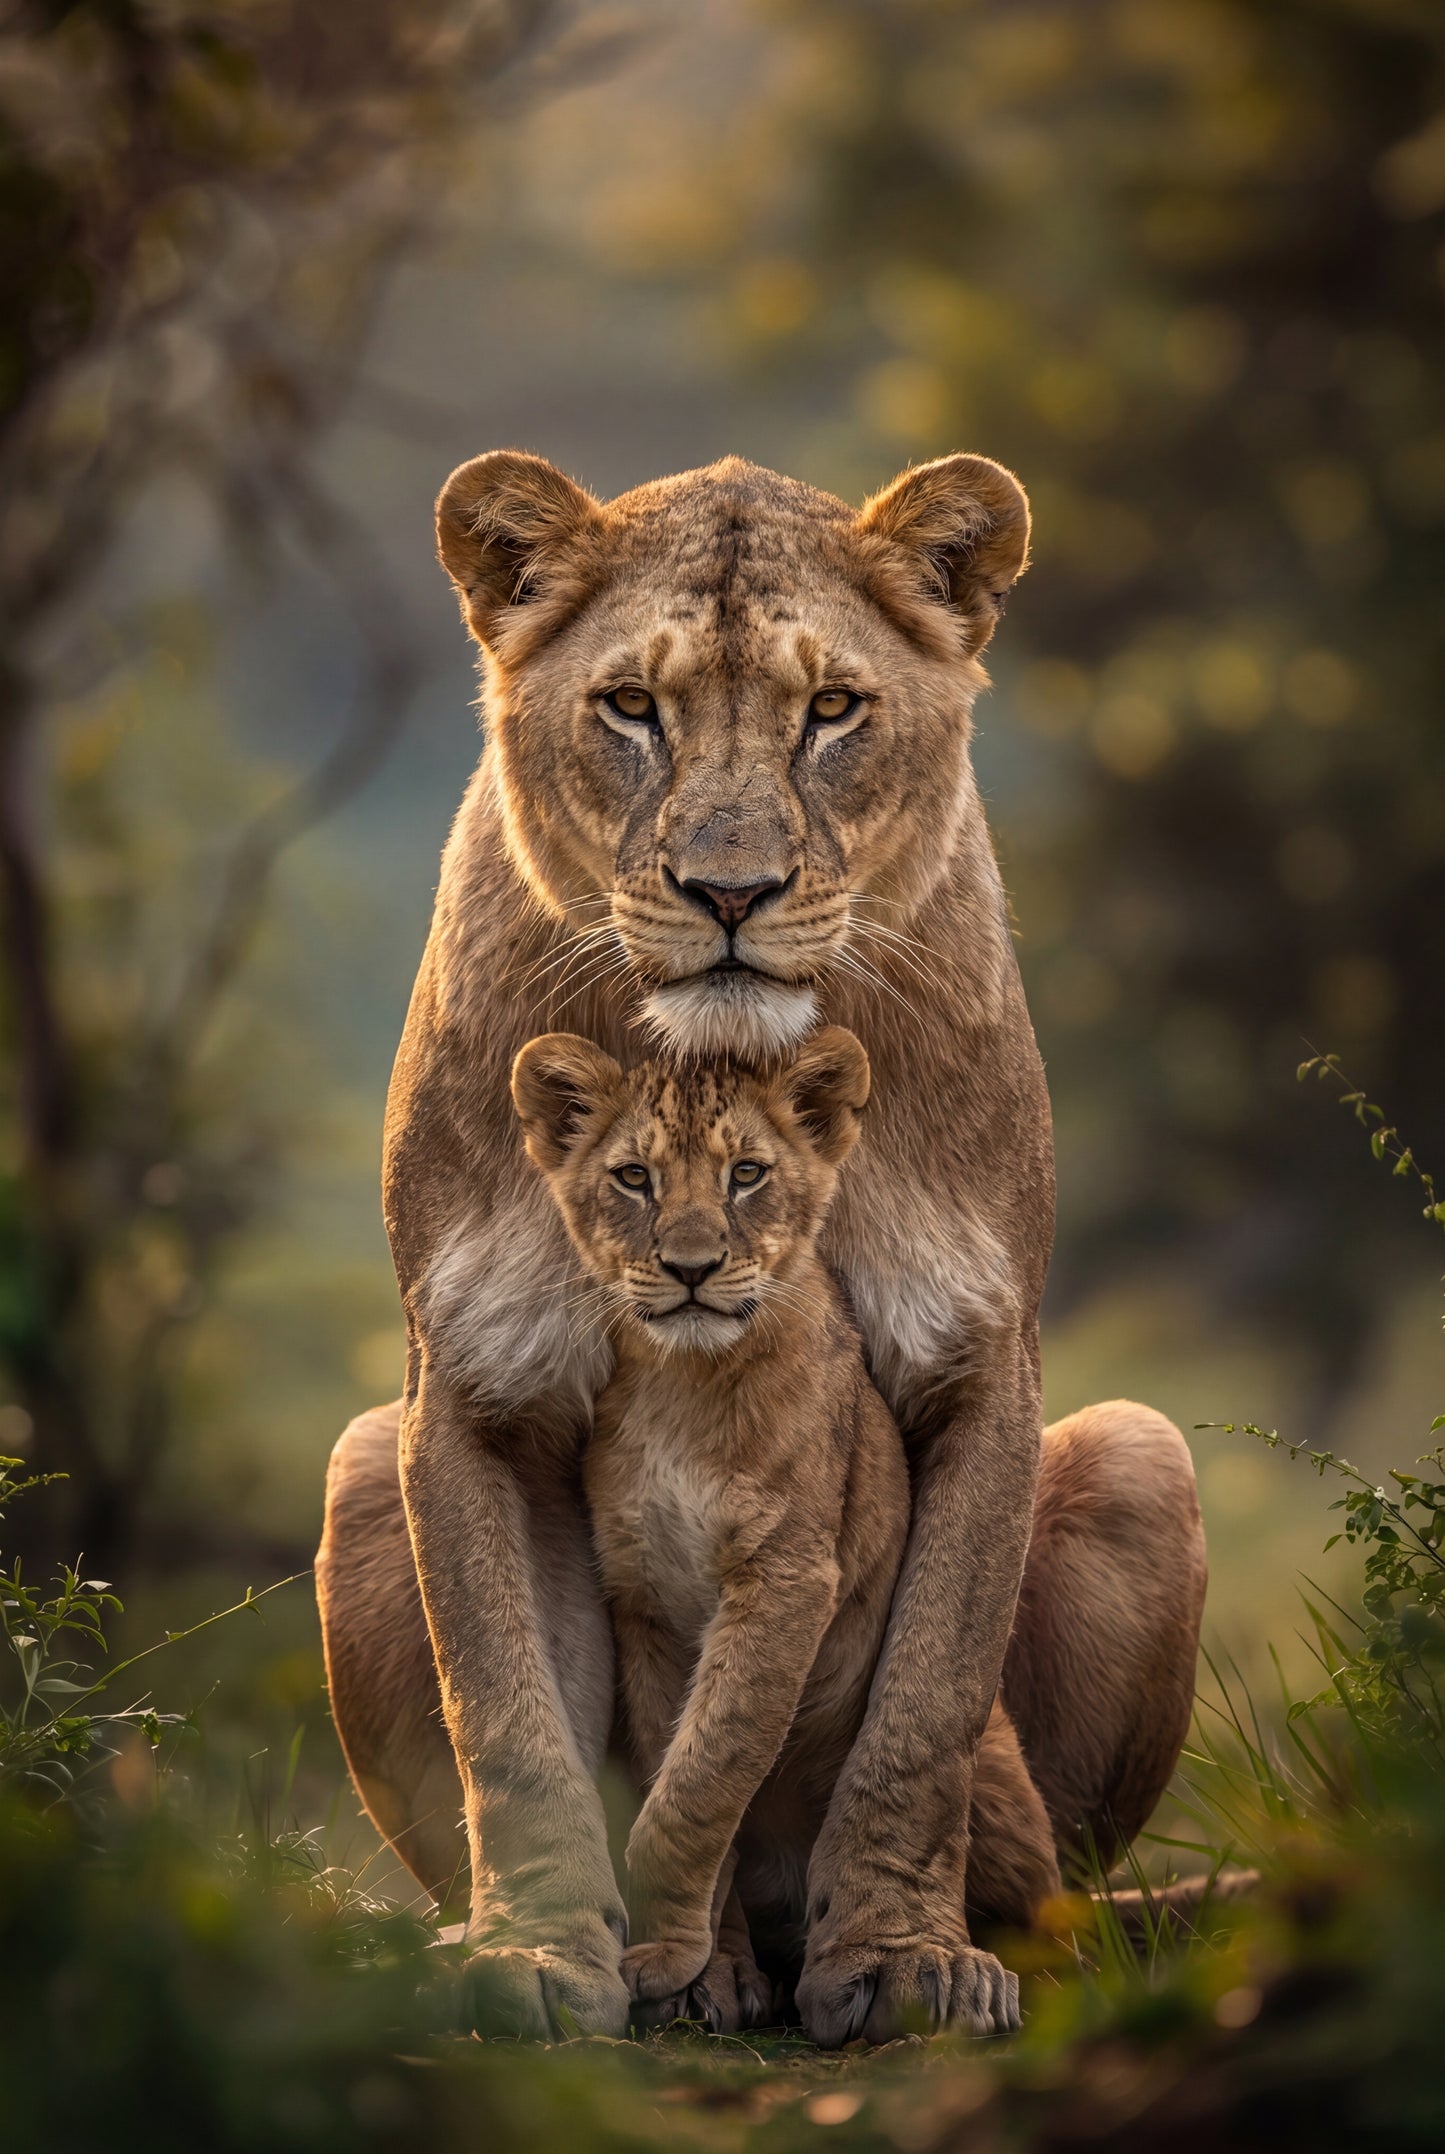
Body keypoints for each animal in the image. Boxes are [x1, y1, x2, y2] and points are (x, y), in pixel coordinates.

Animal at [511, 1024, 1059, 2038]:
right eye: (634, 1177)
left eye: (748, 1174)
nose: (690, 1268)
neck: (683, 1384)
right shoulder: (644, 1598)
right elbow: (681, 1769)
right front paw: (698, 1968)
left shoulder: (788, 1575)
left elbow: (703, 1776)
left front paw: (662, 1948)